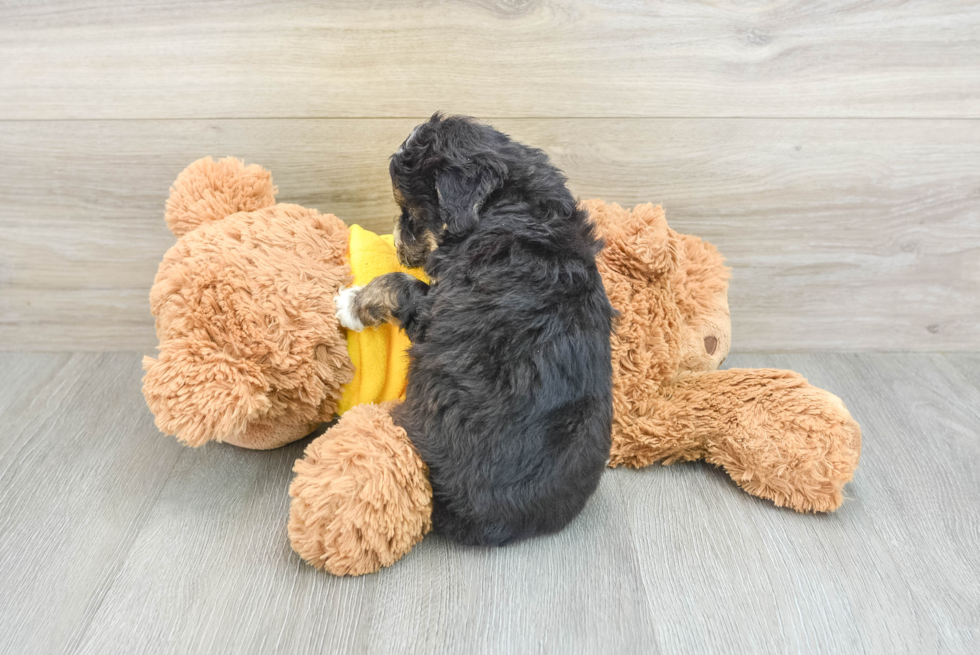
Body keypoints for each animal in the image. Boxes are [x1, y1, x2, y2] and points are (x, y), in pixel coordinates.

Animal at [336, 115, 612, 544]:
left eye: (410, 210)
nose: (397, 244)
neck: (513, 203)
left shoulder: (433, 313)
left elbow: (399, 284)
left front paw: (350, 303)